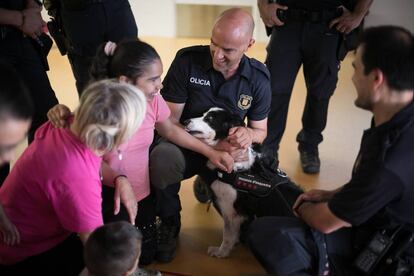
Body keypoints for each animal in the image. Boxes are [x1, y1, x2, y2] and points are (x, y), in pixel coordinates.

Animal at [184, 106, 300, 258]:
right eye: (204, 115)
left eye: (209, 119)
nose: (185, 121)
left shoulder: (232, 211)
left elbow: (227, 235)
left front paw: (221, 252)